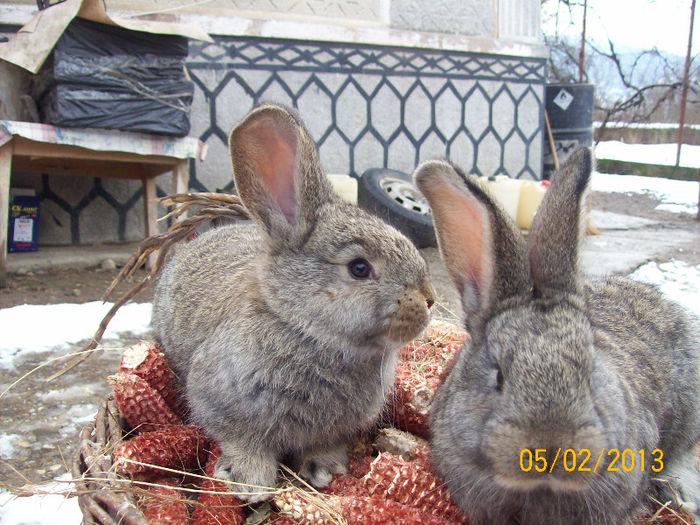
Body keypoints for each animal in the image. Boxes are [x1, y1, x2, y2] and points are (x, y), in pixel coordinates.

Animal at [151, 102, 434, 500]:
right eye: (359, 268)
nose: (429, 300)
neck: (305, 330)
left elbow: (323, 446)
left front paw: (325, 470)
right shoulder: (221, 404)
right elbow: (242, 441)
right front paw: (249, 482)